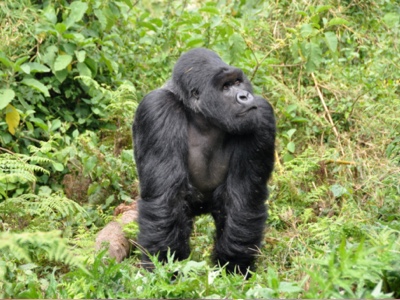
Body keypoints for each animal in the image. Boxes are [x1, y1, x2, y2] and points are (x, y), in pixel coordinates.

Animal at [133, 47, 276, 276]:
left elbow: (244, 199)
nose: (244, 96)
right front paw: (165, 269)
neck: (203, 118)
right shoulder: (157, 109)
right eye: (225, 86)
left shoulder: (261, 114)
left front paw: (233, 267)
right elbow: (166, 199)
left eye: (238, 81)